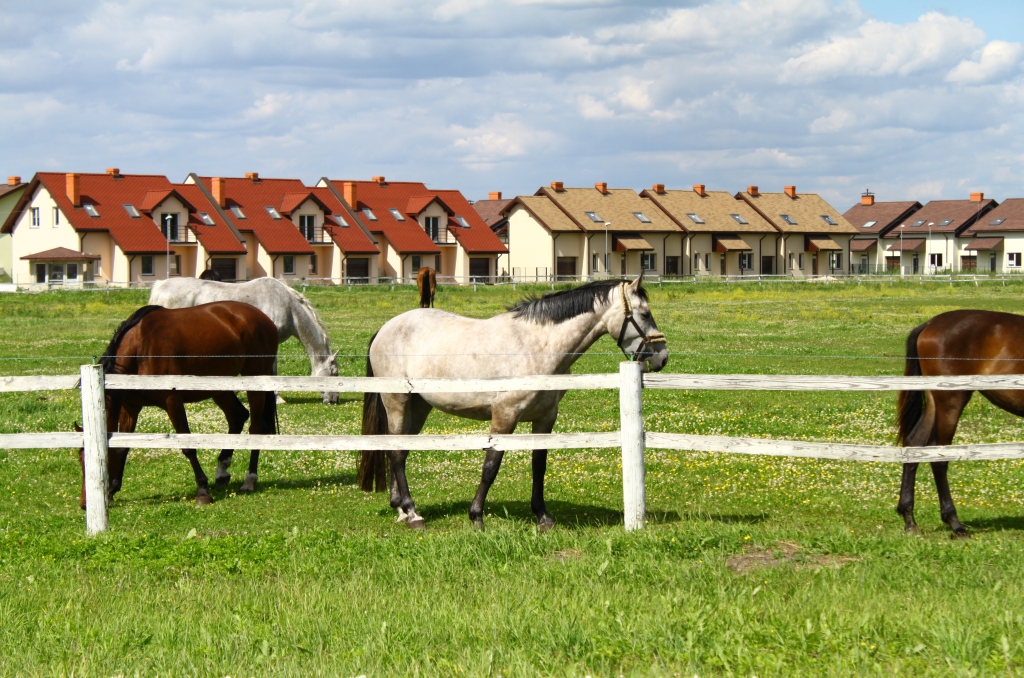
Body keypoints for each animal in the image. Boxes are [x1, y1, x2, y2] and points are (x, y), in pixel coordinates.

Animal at [79, 303, 278, 510]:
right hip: (219, 387)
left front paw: (203, 491)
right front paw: (112, 489)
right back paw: (222, 470)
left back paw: (249, 480)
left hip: (254, 381)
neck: (139, 348)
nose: (85, 504)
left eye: (98, 462)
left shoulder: (172, 401)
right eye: (80, 460)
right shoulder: (131, 408)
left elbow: (188, 446)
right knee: (237, 417)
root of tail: (263, 318)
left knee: (256, 429)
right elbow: (122, 448)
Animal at [149, 278, 339, 403]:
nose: (334, 400)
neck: (288, 306)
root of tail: (160, 285)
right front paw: (276, 398)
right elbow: (272, 371)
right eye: (335, 373)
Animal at [362, 274, 671, 532]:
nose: (662, 356)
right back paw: (413, 514)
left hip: (419, 407)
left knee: (399, 450)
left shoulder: (545, 417)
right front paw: (476, 517)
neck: (536, 346)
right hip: (397, 402)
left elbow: (539, 465)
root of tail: (385, 328)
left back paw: (401, 510)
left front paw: (543, 517)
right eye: (645, 313)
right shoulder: (505, 415)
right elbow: (491, 466)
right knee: (396, 454)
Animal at [892, 311, 1024, 540]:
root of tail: (930, 324)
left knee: (914, 445)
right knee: (938, 456)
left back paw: (909, 520)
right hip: (951, 401)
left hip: (935, 402)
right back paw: (955, 523)